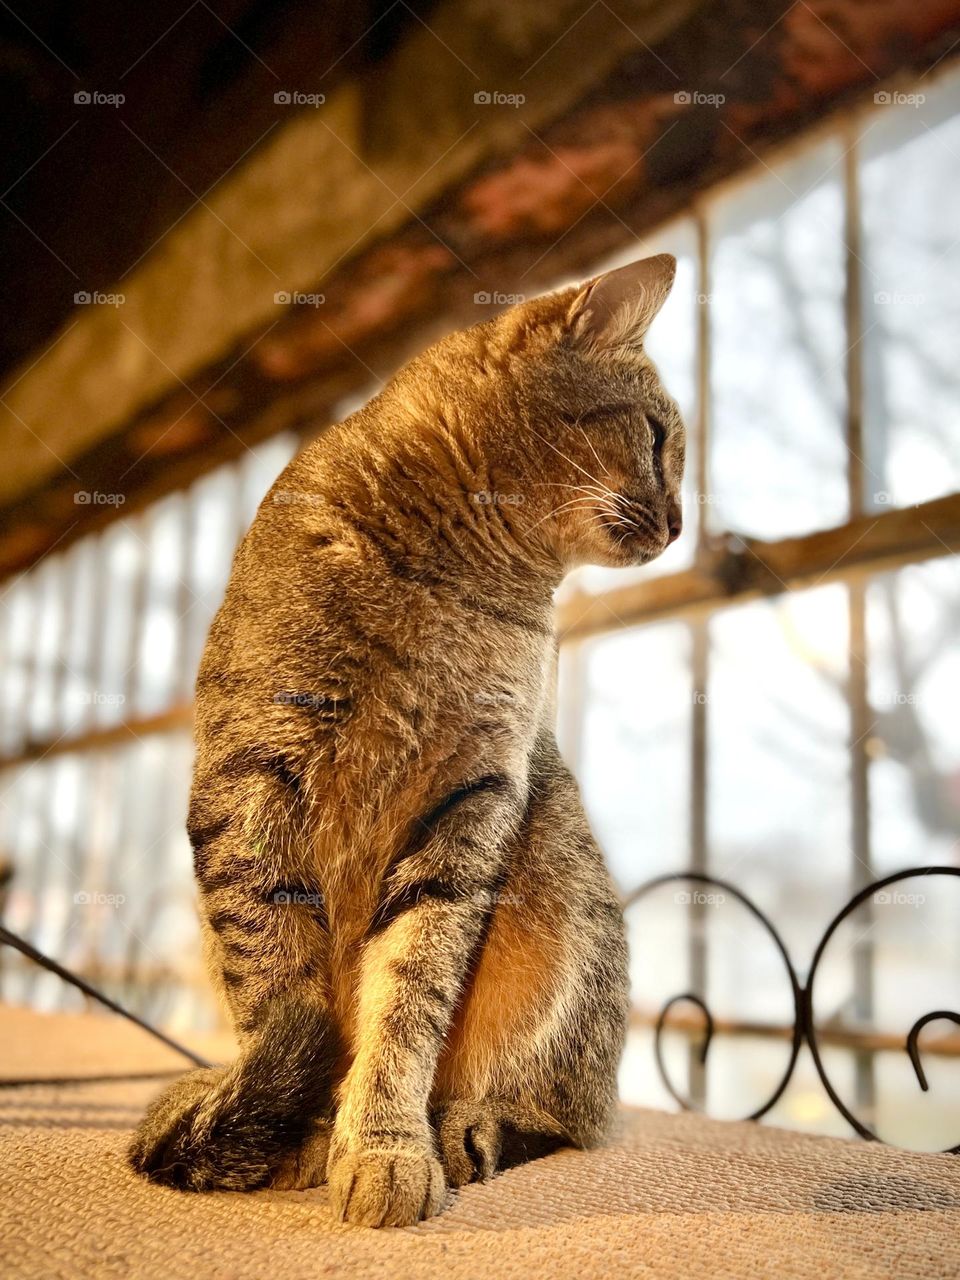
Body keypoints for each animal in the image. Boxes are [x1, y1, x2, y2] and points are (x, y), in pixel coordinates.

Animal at [129, 252, 686, 1228]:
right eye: (658, 439)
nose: (685, 521)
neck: (460, 586)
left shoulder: (472, 802)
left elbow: (408, 994)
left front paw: (384, 1144)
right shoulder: (252, 778)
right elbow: (276, 988)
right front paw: (292, 1132)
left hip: (561, 889)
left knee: (567, 1116)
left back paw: (468, 1126)